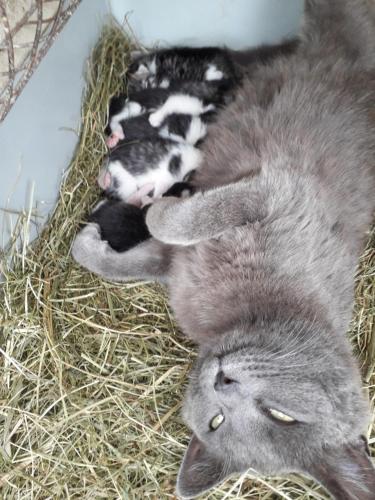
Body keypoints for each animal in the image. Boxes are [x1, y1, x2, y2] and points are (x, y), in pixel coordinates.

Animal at [72, 1, 375, 498]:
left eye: (215, 421)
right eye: (283, 415)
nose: (222, 379)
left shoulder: (179, 262)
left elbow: (151, 241)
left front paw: (131, 217)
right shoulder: (275, 193)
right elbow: (178, 225)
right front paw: (100, 236)